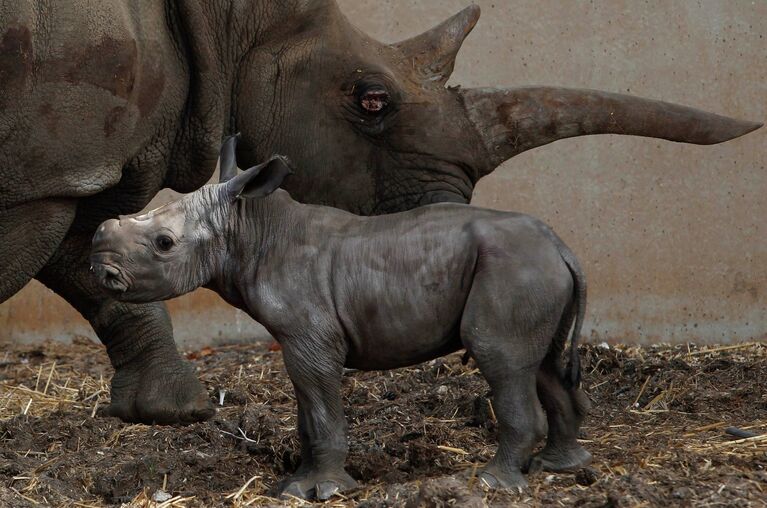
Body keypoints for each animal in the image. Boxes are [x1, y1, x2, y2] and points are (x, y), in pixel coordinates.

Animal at [0, 0, 760, 424]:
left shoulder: (52, 167)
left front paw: (172, 410)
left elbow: (91, 257)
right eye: (372, 100)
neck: (226, 22)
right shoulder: (45, 170)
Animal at [91, 135, 592, 500]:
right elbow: (307, 412)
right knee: (541, 363)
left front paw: (324, 491)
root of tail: (562, 248)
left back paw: (493, 483)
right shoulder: (299, 338)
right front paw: (292, 486)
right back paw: (560, 468)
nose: (100, 268)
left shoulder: (311, 337)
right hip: (531, 270)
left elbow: (321, 411)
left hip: (514, 270)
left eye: (164, 244)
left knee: (501, 357)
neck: (249, 225)